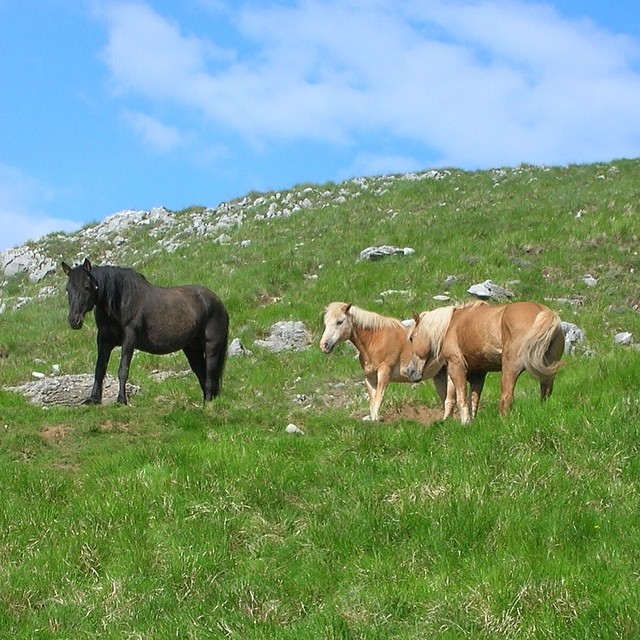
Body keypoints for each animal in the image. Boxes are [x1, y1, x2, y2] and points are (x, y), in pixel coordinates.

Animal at [60, 256, 230, 402]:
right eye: (68, 289)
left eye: (87, 287)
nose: (74, 320)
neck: (120, 300)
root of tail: (218, 303)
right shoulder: (104, 339)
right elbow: (100, 368)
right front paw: (94, 399)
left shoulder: (129, 339)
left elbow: (123, 369)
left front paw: (121, 400)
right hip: (192, 348)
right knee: (201, 373)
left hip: (212, 347)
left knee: (209, 374)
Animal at [318, 304, 448, 422]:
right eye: (325, 323)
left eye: (339, 322)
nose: (324, 345)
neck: (375, 340)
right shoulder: (370, 378)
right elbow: (373, 401)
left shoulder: (384, 371)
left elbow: (378, 398)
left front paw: (376, 419)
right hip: (440, 375)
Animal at [402, 302, 564, 424]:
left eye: (411, 338)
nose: (409, 371)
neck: (451, 326)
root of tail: (544, 312)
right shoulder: (477, 375)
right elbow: (469, 399)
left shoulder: (456, 366)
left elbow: (461, 397)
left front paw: (465, 422)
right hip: (547, 372)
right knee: (545, 393)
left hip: (510, 369)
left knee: (507, 397)